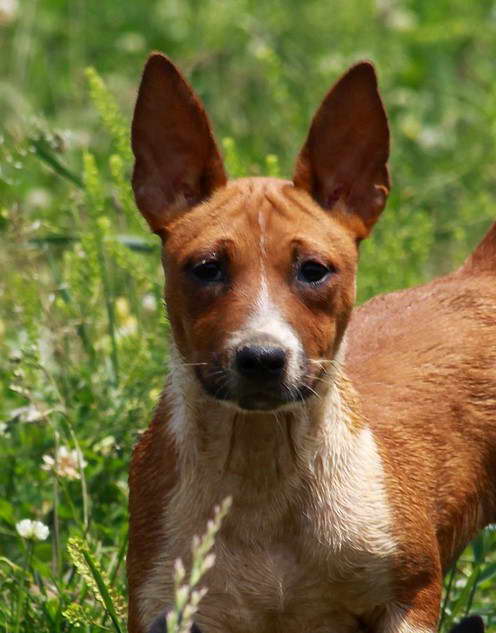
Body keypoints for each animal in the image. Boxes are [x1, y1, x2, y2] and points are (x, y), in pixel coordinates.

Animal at [125, 54, 496, 632]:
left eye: (314, 270)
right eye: (206, 268)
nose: (261, 358)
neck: (264, 474)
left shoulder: (409, 594)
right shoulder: (165, 605)